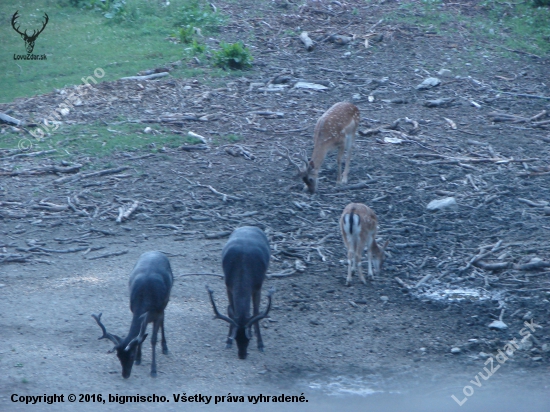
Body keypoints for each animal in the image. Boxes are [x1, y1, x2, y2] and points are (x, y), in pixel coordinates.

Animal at [92, 249, 174, 378]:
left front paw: (153, 370)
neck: (145, 298)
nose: (125, 375)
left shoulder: (157, 312)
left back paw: (165, 347)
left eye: (131, 356)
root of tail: (155, 251)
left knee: (163, 319)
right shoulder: (135, 311)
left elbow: (153, 339)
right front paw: (139, 359)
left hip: (166, 300)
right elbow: (140, 335)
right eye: (118, 356)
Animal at [207, 227, 276, 358]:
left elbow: (256, 312)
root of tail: (250, 226)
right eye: (235, 338)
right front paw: (227, 341)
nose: (242, 355)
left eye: (248, 339)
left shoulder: (257, 287)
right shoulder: (228, 285)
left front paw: (260, 344)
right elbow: (232, 311)